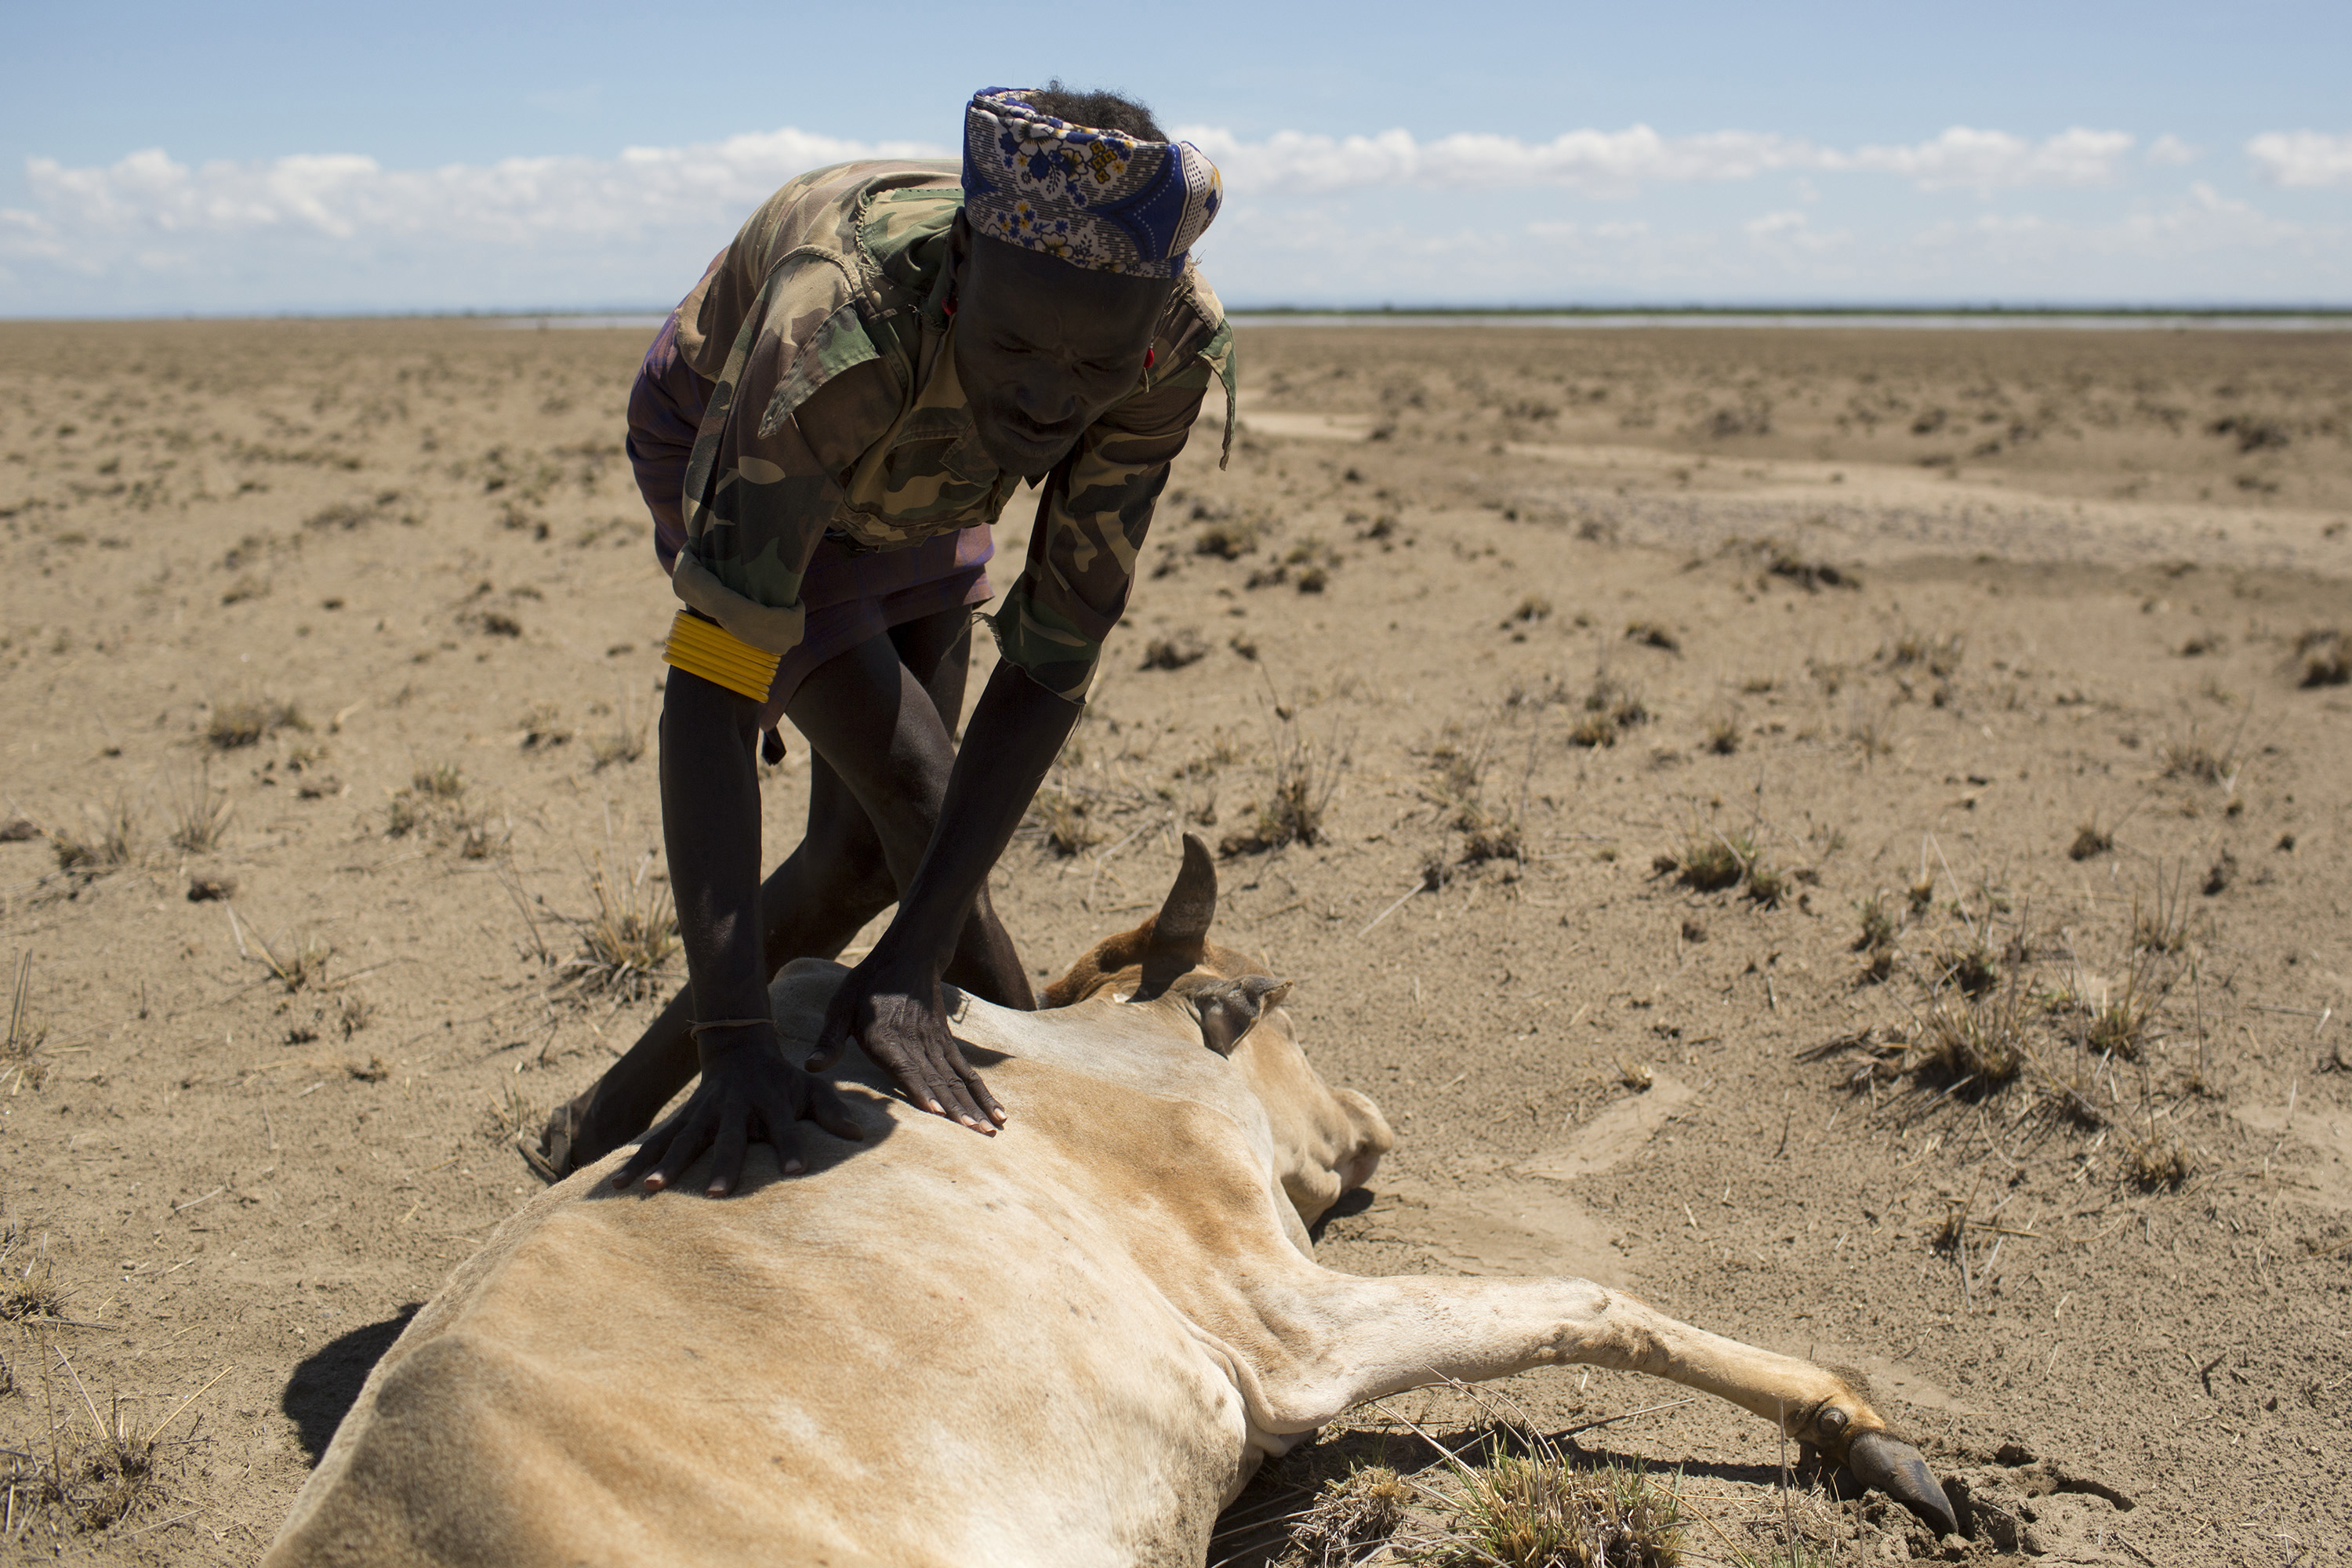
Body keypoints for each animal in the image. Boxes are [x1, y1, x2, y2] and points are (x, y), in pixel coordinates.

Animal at [267, 841, 1957, 1561]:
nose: (1374, 1129)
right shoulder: (1281, 1326)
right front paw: (1861, 1430)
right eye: (1254, 1001)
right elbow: (1583, 1303)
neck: (1084, 1073)